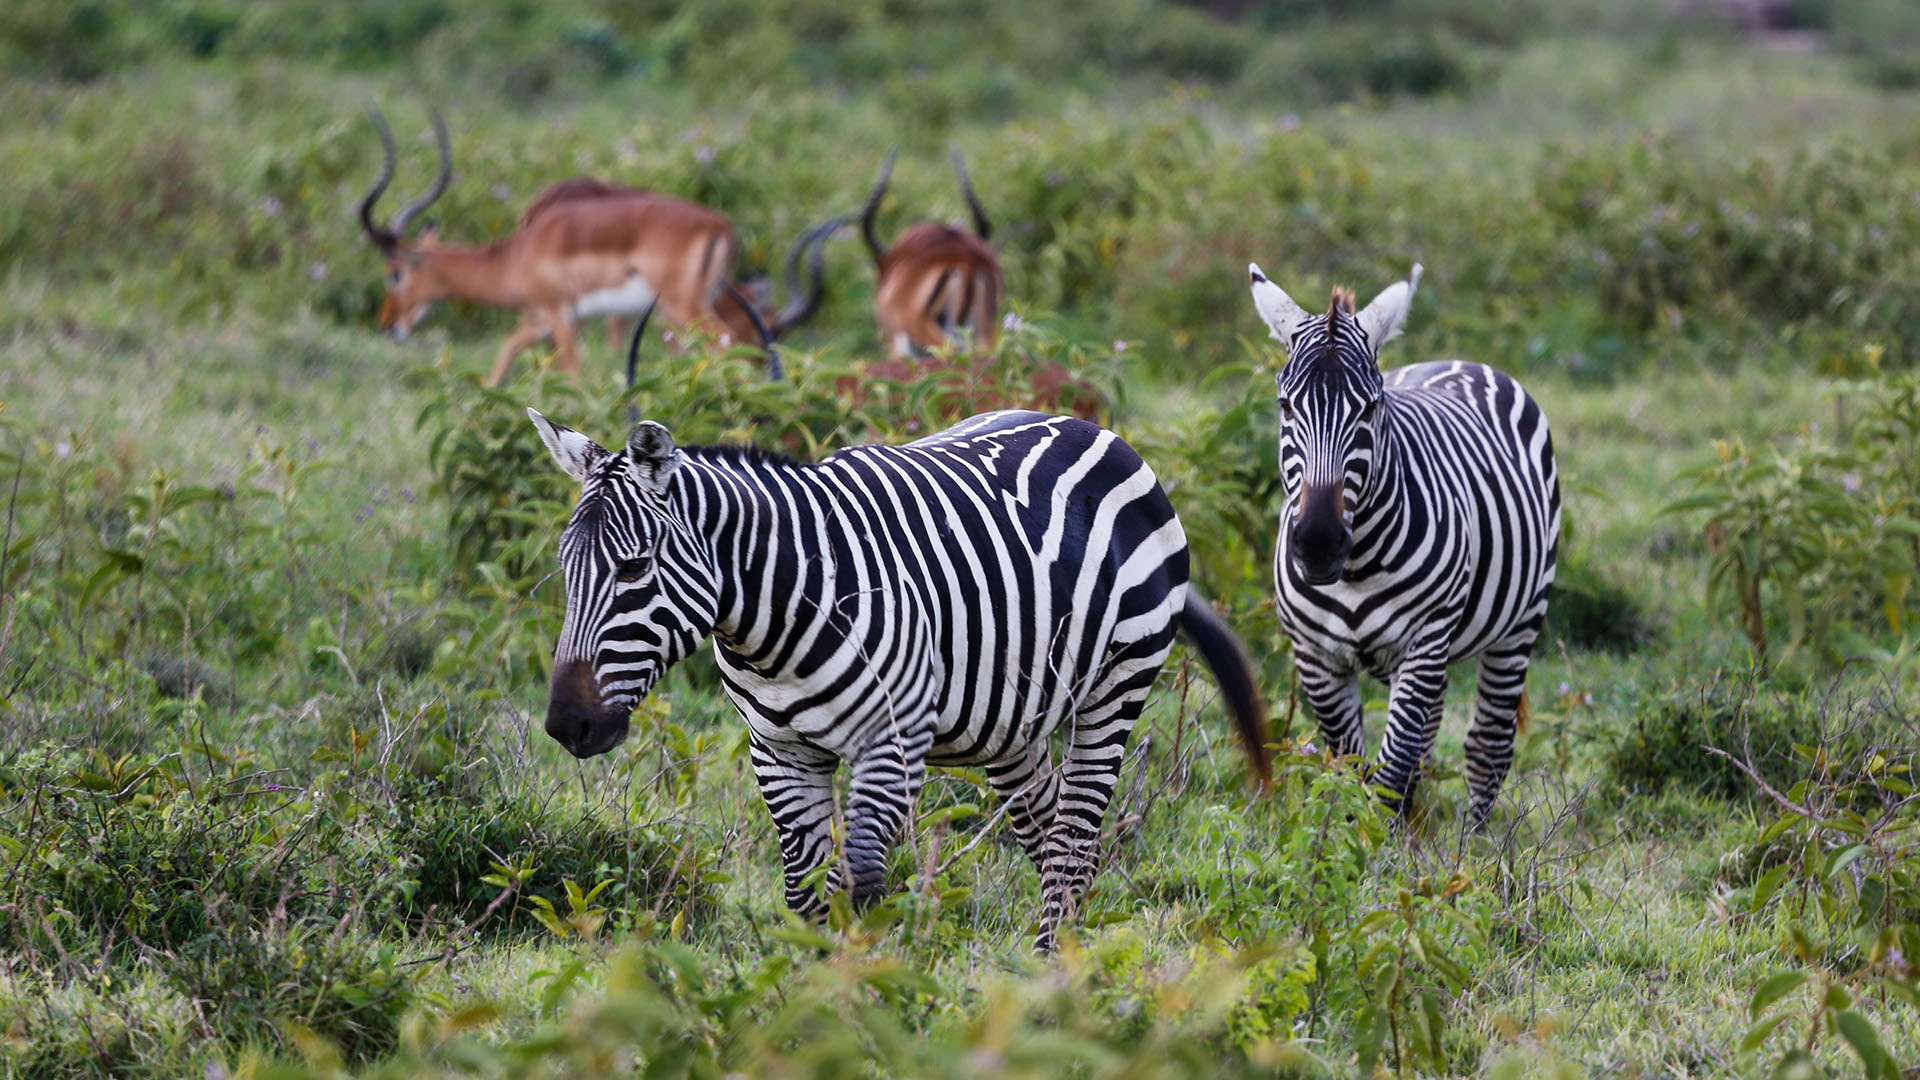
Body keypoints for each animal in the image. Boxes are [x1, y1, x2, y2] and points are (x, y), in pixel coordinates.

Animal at [360, 107, 840, 384]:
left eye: (395, 273)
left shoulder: (559, 315)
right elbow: (506, 352)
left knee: (722, 345)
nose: (387, 324)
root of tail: (717, 224)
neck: (517, 254)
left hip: (684, 307)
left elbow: (574, 373)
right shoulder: (541, 319)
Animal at [529, 407, 1274, 945]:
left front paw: (862, 995)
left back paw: (1051, 983)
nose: (568, 725)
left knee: (1072, 840)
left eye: (633, 569)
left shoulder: (891, 742)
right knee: (1049, 834)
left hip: (1116, 686)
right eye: (565, 572)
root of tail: (1091, 427)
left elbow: (858, 883)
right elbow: (805, 893)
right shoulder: (779, 752)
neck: (775, 623)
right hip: (1012, 721)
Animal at [1244, 265, 1559, 818]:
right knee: (1429, 742)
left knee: (1488, 745)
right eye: (1285, 406)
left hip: (1521, 619)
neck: (1353, 571)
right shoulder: (1315, 656)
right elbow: (1351, 771)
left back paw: (1476, 839)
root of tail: (1459, 360)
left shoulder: (1425, 640)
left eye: (1370, 409)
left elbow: (1389, 778)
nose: (1319, 542)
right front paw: (1353, 833)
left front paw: (1379, 841)